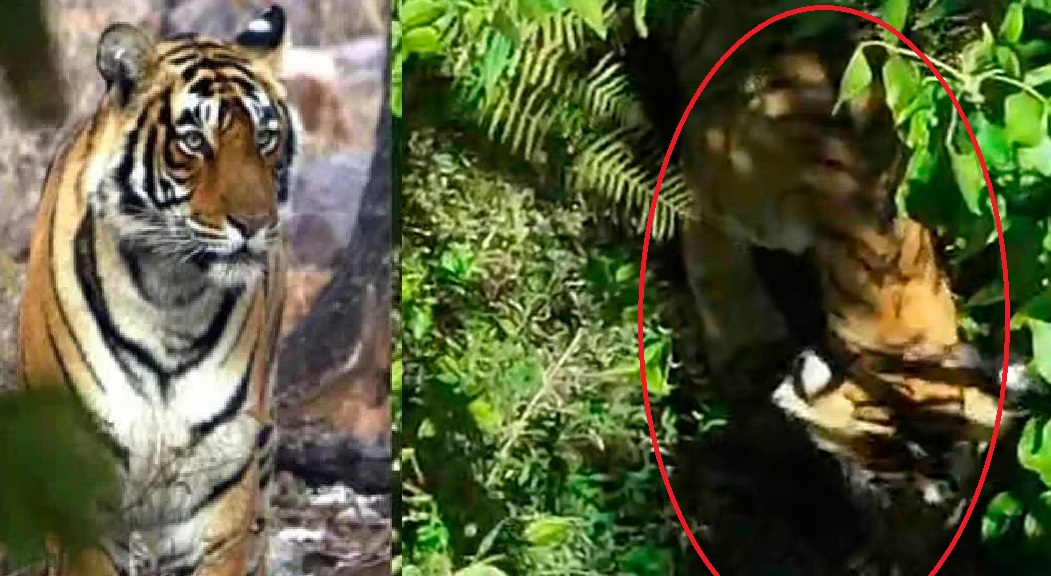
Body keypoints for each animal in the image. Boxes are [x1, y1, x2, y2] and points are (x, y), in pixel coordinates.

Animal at [16, 5, 298, 576]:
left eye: (265, 138)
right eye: (194, 141)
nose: (256, 223)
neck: (173, 296)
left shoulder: (219, 491)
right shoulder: (84, 488)